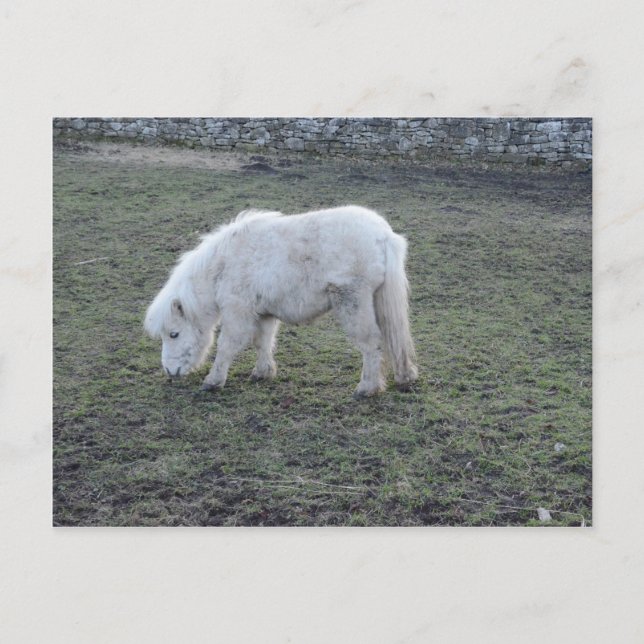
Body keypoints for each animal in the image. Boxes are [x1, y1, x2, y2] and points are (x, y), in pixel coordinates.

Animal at [144, 205, 418, 398]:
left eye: (174, 334)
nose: (169, 372)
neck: (224, 263)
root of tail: (384, 235)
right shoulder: (263, 313)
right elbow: (262, 342)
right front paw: (262, 373)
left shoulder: (237, 312)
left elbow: (227, 345)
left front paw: (213, 381)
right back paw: (404, 376)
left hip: (353, 303)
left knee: (371, 343)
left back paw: (367, 388)